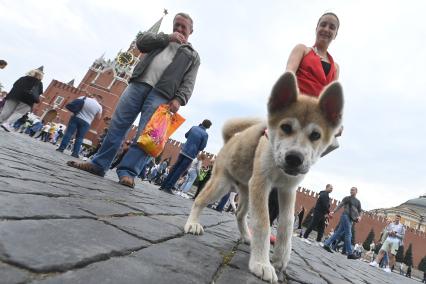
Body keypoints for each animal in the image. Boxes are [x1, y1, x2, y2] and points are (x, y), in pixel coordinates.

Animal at [183, 72, 342, 282]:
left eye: (315, 135)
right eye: (286, 127)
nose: (294, 158)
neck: (278, 167)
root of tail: (230, 141)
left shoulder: (288, 190)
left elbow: (287, 224)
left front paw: (281, 258)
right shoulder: (261, 184)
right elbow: (263, 223)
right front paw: (261, 263)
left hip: (246, 192)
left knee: (239, 213)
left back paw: (246, 237)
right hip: (222, 185)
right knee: (200, 199)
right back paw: (192, 224)